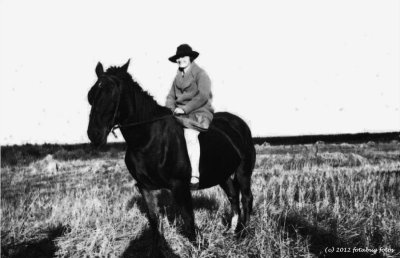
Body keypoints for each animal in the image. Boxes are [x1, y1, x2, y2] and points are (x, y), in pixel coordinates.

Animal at [87, 59, 256, 249]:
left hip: (243, 172)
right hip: (223, 174)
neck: (147, 140)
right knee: (233, 196)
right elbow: (154, 222)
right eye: (91, 96)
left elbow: (189, 222)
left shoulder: (180, 186)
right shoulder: (145, 187)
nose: (94, 134)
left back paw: (242, 233)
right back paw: (231, 231)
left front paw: (200, 247)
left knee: (246, 198)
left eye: (114, 94)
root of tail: (238, 122)